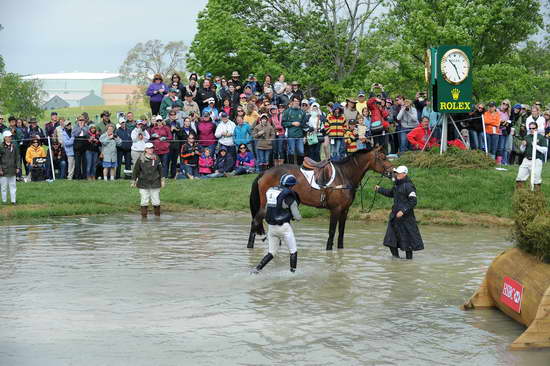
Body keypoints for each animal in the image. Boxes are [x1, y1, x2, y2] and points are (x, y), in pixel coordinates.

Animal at [248, 147, 394, 250]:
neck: (344, 175)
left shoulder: (344, 210)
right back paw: (250, 247)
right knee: (255, 222)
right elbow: (332, 232)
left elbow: (341, 232)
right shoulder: (335, 210)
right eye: (382, 158)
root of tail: (264, 172)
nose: (393, 172)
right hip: (266, 206)